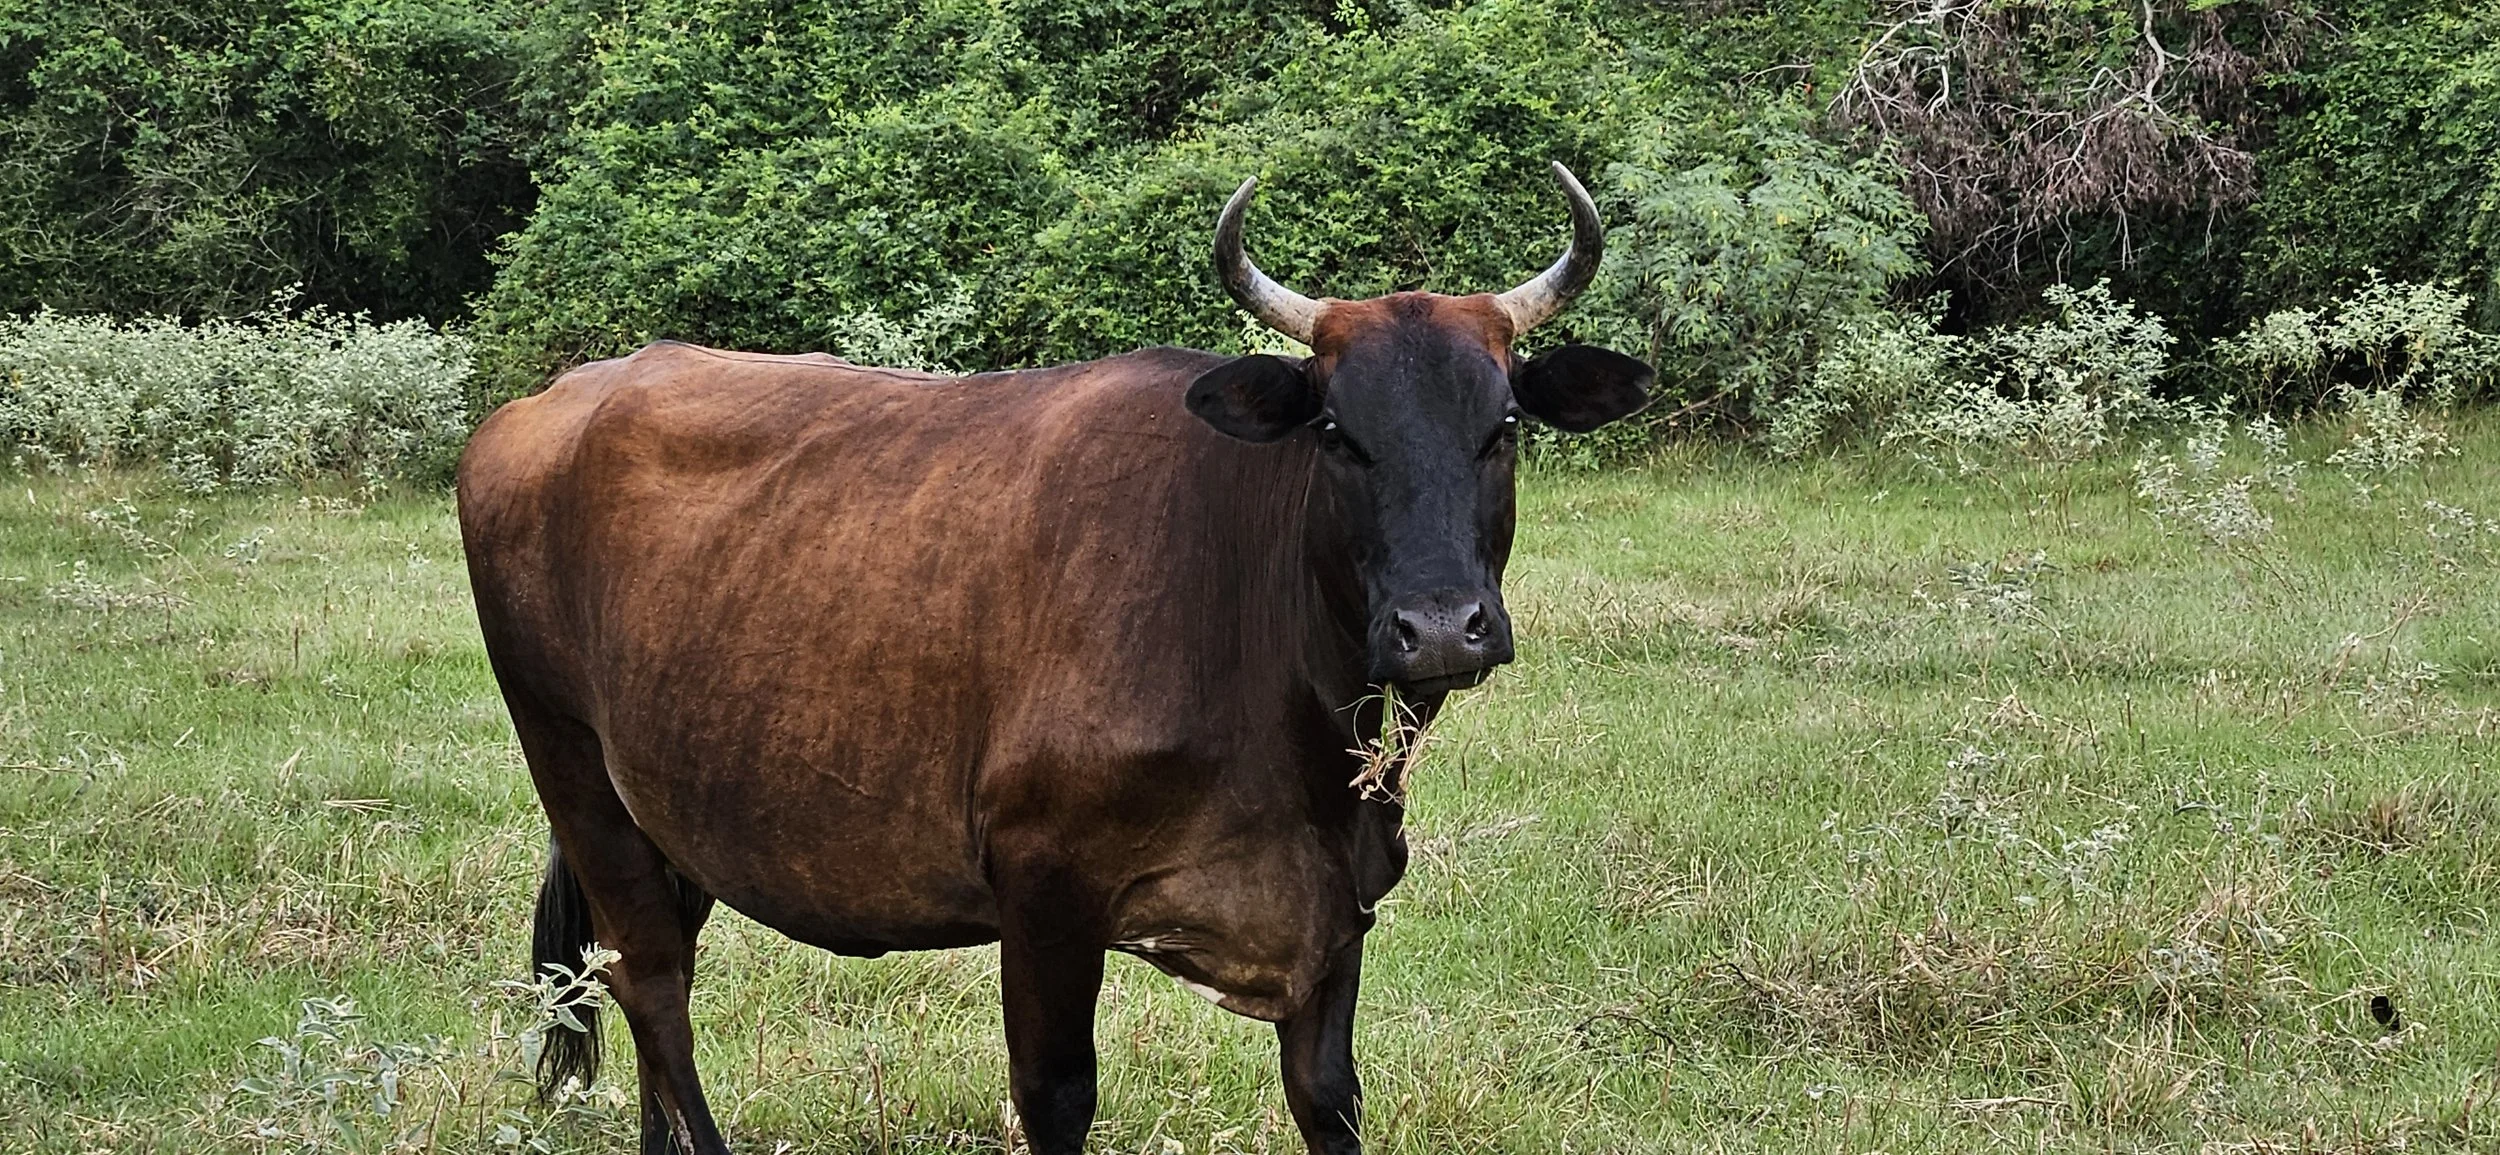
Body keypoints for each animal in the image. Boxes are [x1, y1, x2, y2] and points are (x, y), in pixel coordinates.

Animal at [455, 162, 1653, 1155]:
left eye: (1503, 425)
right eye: (1335, 434)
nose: (1440, 624)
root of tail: (555, 397)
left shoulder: (1339, 900)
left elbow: (1328, 1096)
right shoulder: (1043, 890)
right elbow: (1057, 1095)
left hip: (679, 804)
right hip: (573, 770)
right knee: (653, 983)